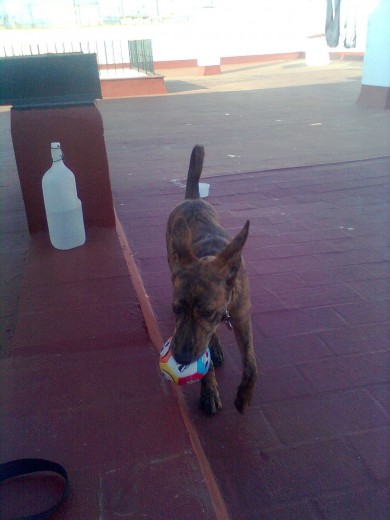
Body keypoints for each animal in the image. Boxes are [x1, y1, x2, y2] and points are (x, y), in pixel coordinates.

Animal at [166, 144, 258, 412]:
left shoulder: (242, 317)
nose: (181, 358)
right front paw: (208, 392)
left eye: (207, 312)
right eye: (176, 309)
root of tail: (192, 199)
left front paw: (244, 395)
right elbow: (204, 359)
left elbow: (251, 364)